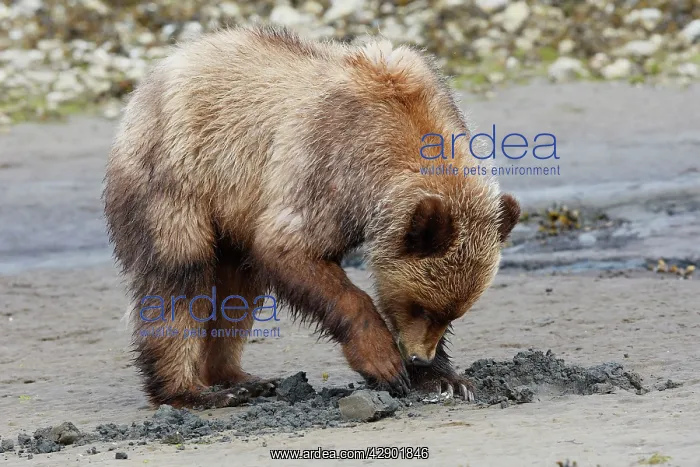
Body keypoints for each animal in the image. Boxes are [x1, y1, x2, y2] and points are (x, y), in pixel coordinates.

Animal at [103, 24, 520, 408]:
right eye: (420, 305)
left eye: (452, 313)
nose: (419, 356)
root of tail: (152, 78)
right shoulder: (330, 166)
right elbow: (291, 249)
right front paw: (385, 362)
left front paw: (447, 380)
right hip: (179, 179)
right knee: (180, 277)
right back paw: (192, 391)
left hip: (232, 212)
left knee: (239, 287)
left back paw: (242, 378)